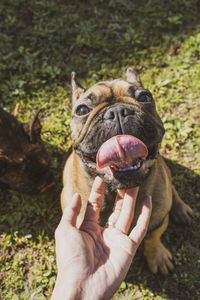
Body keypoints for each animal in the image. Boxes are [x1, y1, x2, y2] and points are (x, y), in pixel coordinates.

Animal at [60, 68, 192, 274]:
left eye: (145, 97)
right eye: (81, 110)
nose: (117, 111)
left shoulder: (159, 219)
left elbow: (153, 236)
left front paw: (157, 256)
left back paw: (181, 209)